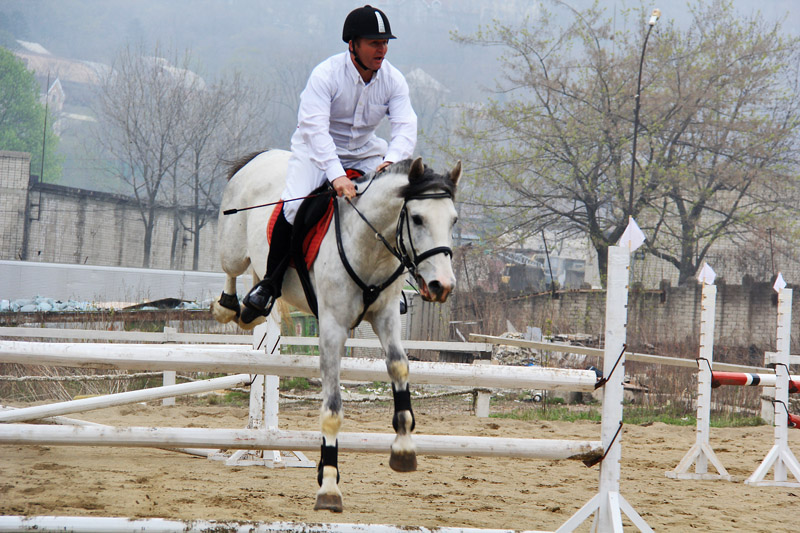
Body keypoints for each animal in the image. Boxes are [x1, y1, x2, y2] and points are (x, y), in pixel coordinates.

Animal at [209, 149, 460, 512]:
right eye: (417, 219)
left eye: (453, 220)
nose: (443, 285)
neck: (370, 245)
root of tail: (262, 155)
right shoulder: (332, 327)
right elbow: (332, 408)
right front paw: (328, 485)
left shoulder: (386, 318)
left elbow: (399, 368)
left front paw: (403, 449)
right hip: (232, 247)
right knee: (232, 271)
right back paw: (230, 306)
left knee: (258, 278)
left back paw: (253, 307)